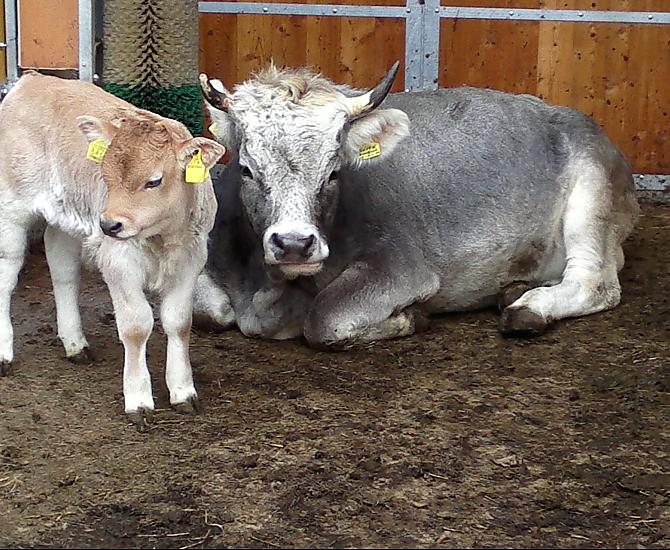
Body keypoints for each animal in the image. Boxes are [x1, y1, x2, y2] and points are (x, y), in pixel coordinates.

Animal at [0, 72, 225, 429]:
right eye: (106, 175)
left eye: (154, 181)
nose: (108, 224)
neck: (162, 237)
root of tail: (34, 79)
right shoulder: (119, 261)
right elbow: (136, 326)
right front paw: (138, 398)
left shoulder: (192, 258)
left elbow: (179, 322)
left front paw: (183, 391)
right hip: (11, 208)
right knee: (6, 275)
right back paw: (4, 353)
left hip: (65, 215)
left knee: (62, 268)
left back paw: (75, 343)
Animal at [193, 62, 639, 348]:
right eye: (247, 170)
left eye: (334, 172)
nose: (293, 244)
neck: (269, 290)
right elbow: (208, 311)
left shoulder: (402, 268)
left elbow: (325, 319)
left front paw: (410, 318)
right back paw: (514, 289)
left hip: (591, 195)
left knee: (596, 283)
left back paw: (530, 308)